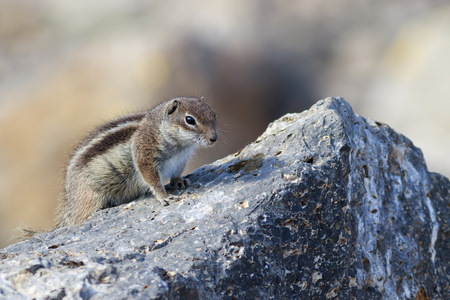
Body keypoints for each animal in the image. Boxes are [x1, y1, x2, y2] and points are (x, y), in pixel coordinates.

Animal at [20, 97, 217, 238]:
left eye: (214, 115)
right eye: (190, 120)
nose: (214, 138)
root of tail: (70, 204)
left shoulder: (181, 160)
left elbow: (176, 174)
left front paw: (180, 182)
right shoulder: (144, 154)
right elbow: (152, 179)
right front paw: (165, 197)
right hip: (89, 198)